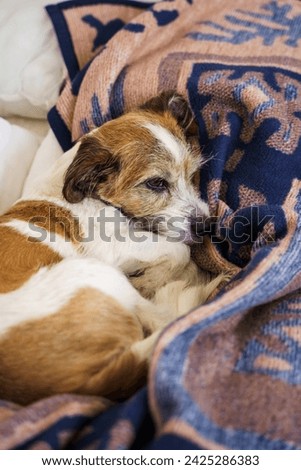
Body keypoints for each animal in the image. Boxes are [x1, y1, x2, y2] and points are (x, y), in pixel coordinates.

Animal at [0, 91, 226, 404]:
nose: (206, 227)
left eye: (193, 174)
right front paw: (152, 278)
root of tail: (83, 386)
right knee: (164, 319)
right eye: (156, 183)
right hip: (94, 274)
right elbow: (179, 252)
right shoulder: (111, 248)